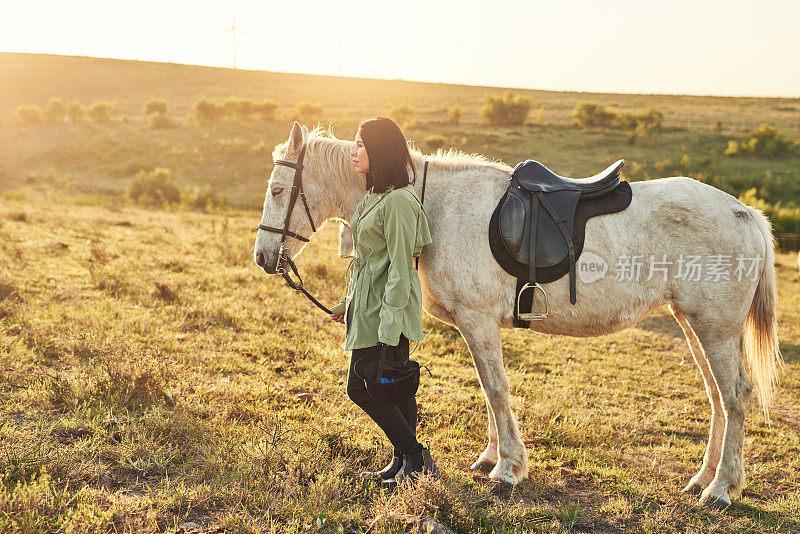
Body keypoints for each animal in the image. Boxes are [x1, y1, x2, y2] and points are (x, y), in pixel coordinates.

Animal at [255, 122, 780, 510]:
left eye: (279, 189)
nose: (263, 257)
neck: (432, 204)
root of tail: (745, 213)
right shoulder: (477, 326)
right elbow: (489, 392)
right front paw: (490, 458)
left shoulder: (477, 321)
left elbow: (495, 389)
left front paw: (508, 469)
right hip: (696, 325)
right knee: (718, 398)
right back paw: (703, 480)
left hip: (714, 329)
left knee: (734, 397)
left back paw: (721, 490)